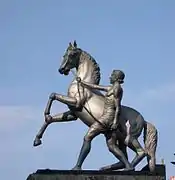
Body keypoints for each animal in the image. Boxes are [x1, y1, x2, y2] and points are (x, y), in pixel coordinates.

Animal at [33, 41, 158, 172]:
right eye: (64, 54)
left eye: (72, 54)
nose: (61, 69)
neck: (83, 85)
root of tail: (144, 120)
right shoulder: (73, 113)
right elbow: (51, 119)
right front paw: (37, 140)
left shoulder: (76, 103)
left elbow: (53, 95)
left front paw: (46, 114)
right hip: (118, 137)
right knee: (121, 153)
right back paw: (110, 168)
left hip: (129, 138)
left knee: (142, 152)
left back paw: (128, 169)